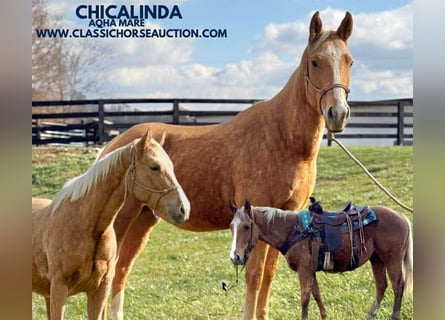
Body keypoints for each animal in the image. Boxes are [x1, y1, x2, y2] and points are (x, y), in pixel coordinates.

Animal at [31, 131, 189, 320]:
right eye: (154, 167)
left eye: (171, 166)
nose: (183, 209)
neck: (85, 225)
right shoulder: (59, 289)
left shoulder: (99, 290)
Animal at [98, 10, 354, 320]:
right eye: (316, 61)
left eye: (349, 61)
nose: (337, 113)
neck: (281, 137)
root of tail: (113, 145)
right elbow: (254, 275)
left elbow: (268, 275)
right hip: (122, 219)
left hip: (143, 218)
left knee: (121, 270)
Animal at [229, 200, 412, 320]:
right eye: (231, 227)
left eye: (246, 226)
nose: (235, 256)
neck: (293, 231)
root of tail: (401, 216)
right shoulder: (311, 271)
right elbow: (316, 295)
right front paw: (324, 316)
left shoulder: (304, 270)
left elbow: (305, 298)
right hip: (377, 259)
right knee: (382, 286)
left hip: (392, 259)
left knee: (398, 286)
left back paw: (394, 316)